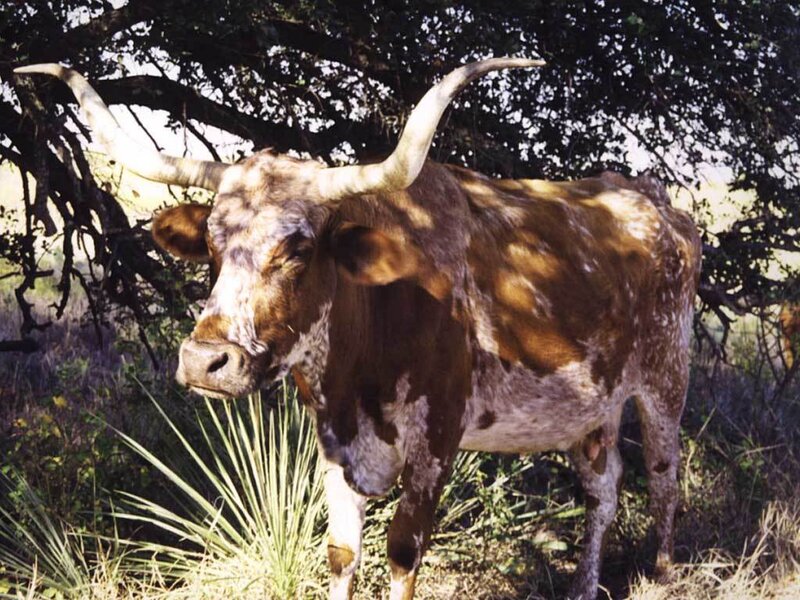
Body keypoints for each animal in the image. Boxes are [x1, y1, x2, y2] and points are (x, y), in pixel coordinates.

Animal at [16, 58, 702, 600]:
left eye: (297, 249)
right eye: (210, 246)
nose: (206, 360)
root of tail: (655, 201)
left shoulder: (437, 438)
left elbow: (402, 550)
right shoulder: (332, 440)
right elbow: (342, 552)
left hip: (666, 380)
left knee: (664, 477)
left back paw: (666, 575)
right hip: (593, 407)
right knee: (603, 489)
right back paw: (584, 586)